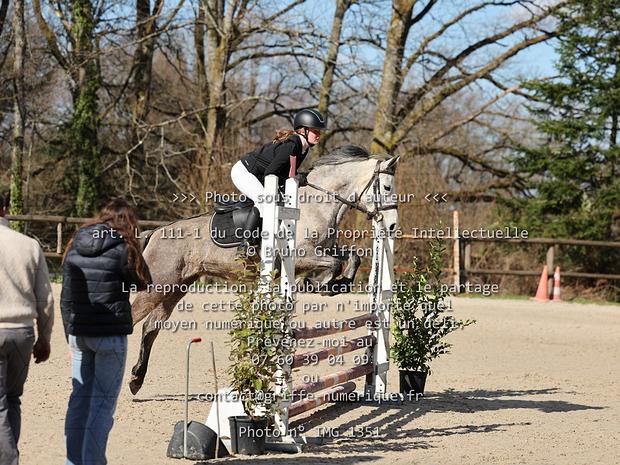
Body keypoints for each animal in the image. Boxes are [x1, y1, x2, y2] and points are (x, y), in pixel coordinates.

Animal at [129, 145, 400, 394]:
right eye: (387, 188)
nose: (392, 226)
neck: (318, 205)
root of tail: (156, 231)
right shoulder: (301, 257)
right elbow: (333, 264)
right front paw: (317, 284)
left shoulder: (325, 249)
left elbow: (352, 258)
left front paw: (338, 285)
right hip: (159, 285)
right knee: (136, 319)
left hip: (176, 287)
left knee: (150, 327)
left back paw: (136, 379)